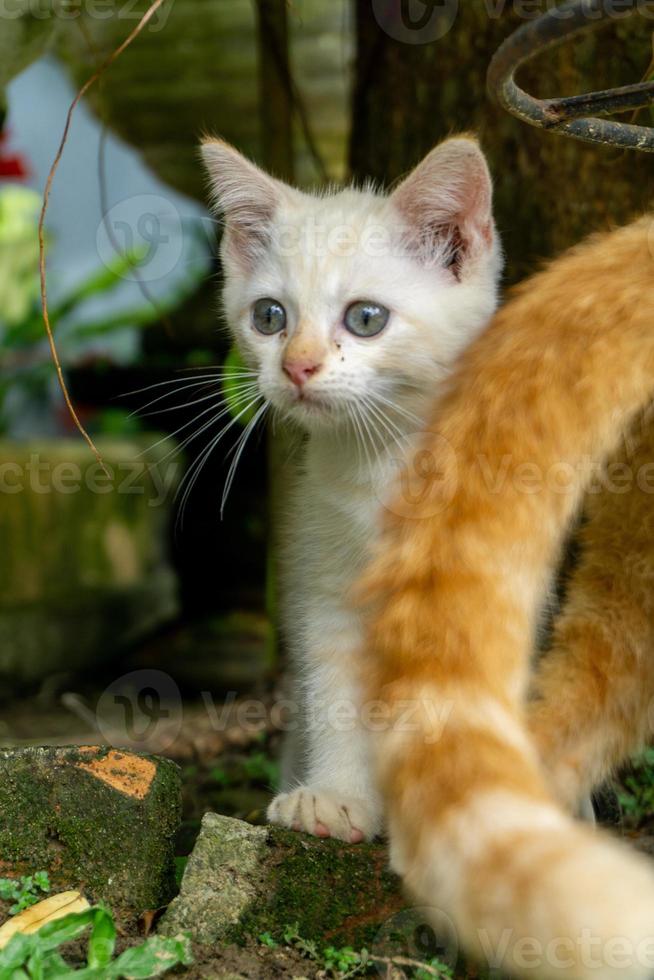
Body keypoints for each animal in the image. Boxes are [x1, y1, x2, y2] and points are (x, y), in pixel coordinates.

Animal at [200, 136, 502, 844]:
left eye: (366, 318)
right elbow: (334, 689)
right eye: (269, 316)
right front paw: (335, 796)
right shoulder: (326, 588)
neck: (389, 466)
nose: (297, 366)